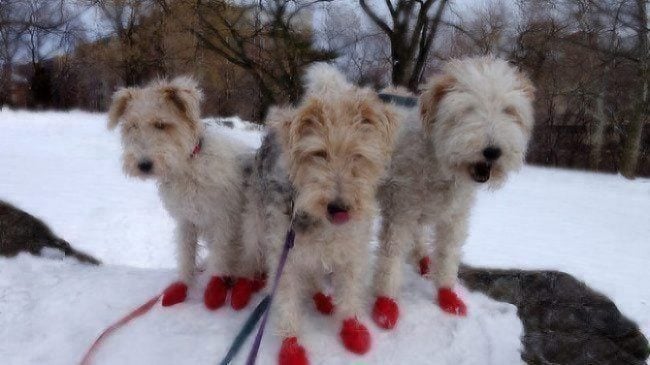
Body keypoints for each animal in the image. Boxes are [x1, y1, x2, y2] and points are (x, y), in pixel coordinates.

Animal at [107, 77, 258, 310]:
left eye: (161, 124)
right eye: (133, 126)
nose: (143, 165)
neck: (189, 165)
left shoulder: (224, 221)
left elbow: (220, 258)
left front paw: (215, 290)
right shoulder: (187, 221)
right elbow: (186, 255)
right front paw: (183, 285)